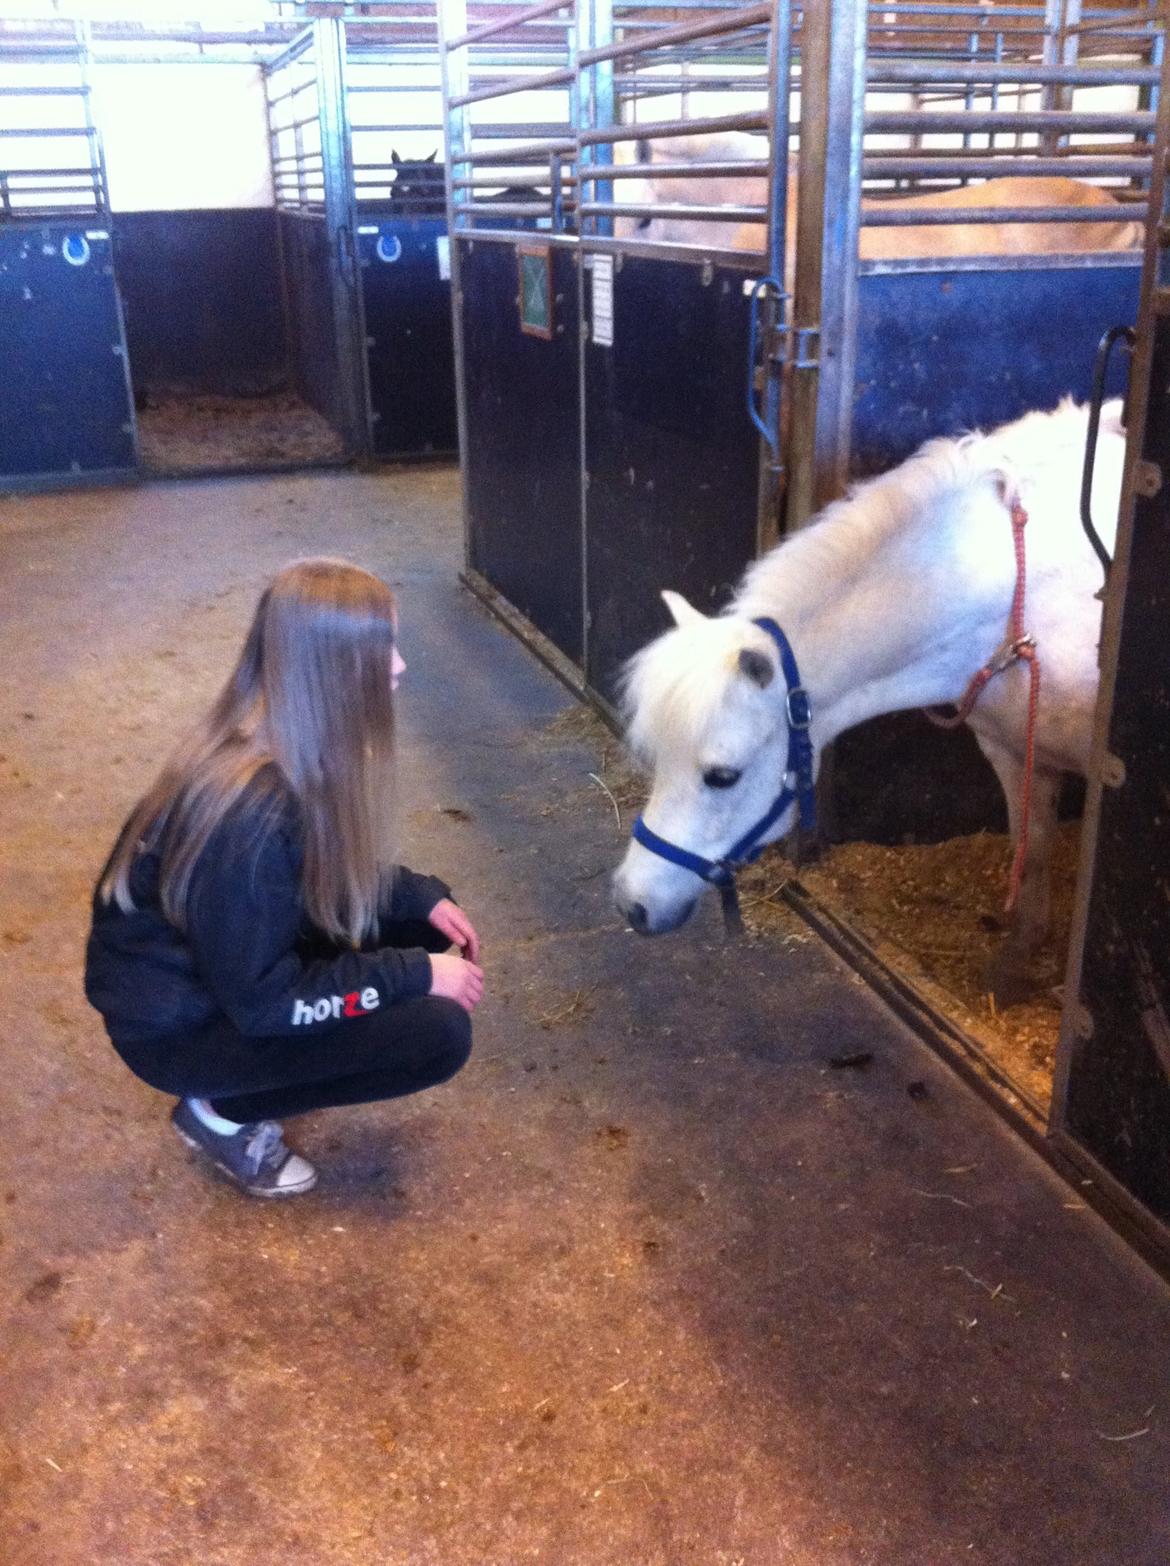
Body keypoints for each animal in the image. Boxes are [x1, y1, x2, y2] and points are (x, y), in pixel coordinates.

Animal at [613, 394, 1127, 1002]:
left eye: (722, 776)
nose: (632, 905)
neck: (1029, 604)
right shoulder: (1014, 751)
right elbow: (1033, 853)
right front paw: (1012, 971)